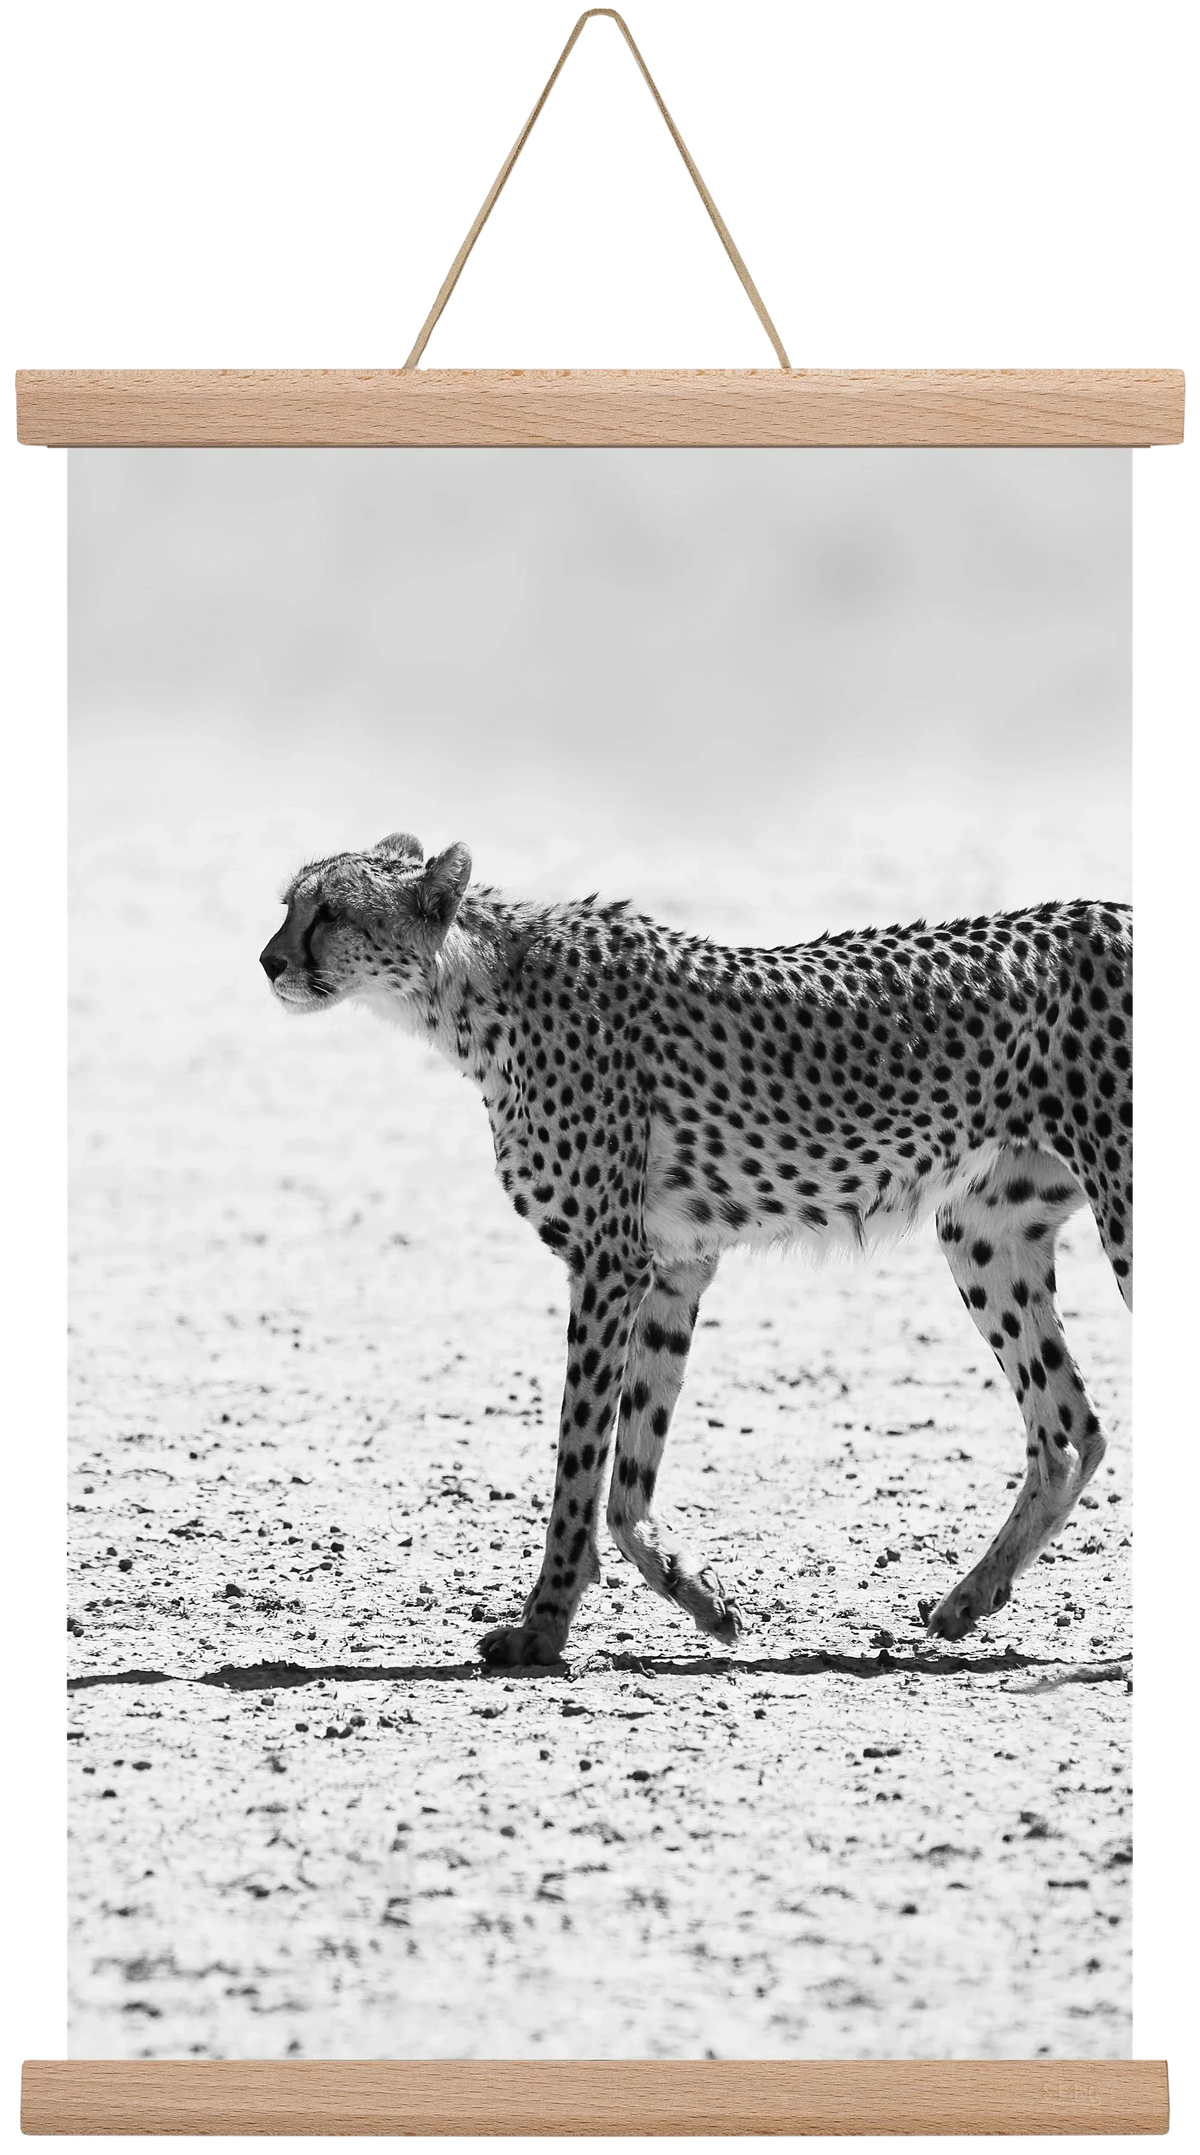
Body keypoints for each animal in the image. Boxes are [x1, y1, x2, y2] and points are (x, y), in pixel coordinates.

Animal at [260, 832, 1136, 1669]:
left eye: (331, 911)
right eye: (289, 904)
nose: (269, 960)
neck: (474, 988)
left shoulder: (608, 1262)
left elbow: (579, 1461)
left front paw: (542, 1628)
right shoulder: (674, 1265)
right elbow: (628, 1474)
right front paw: (701, 1596)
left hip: (1120, 1216)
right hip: (984, 1232)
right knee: (1069, 1429)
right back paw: (968, 1598)